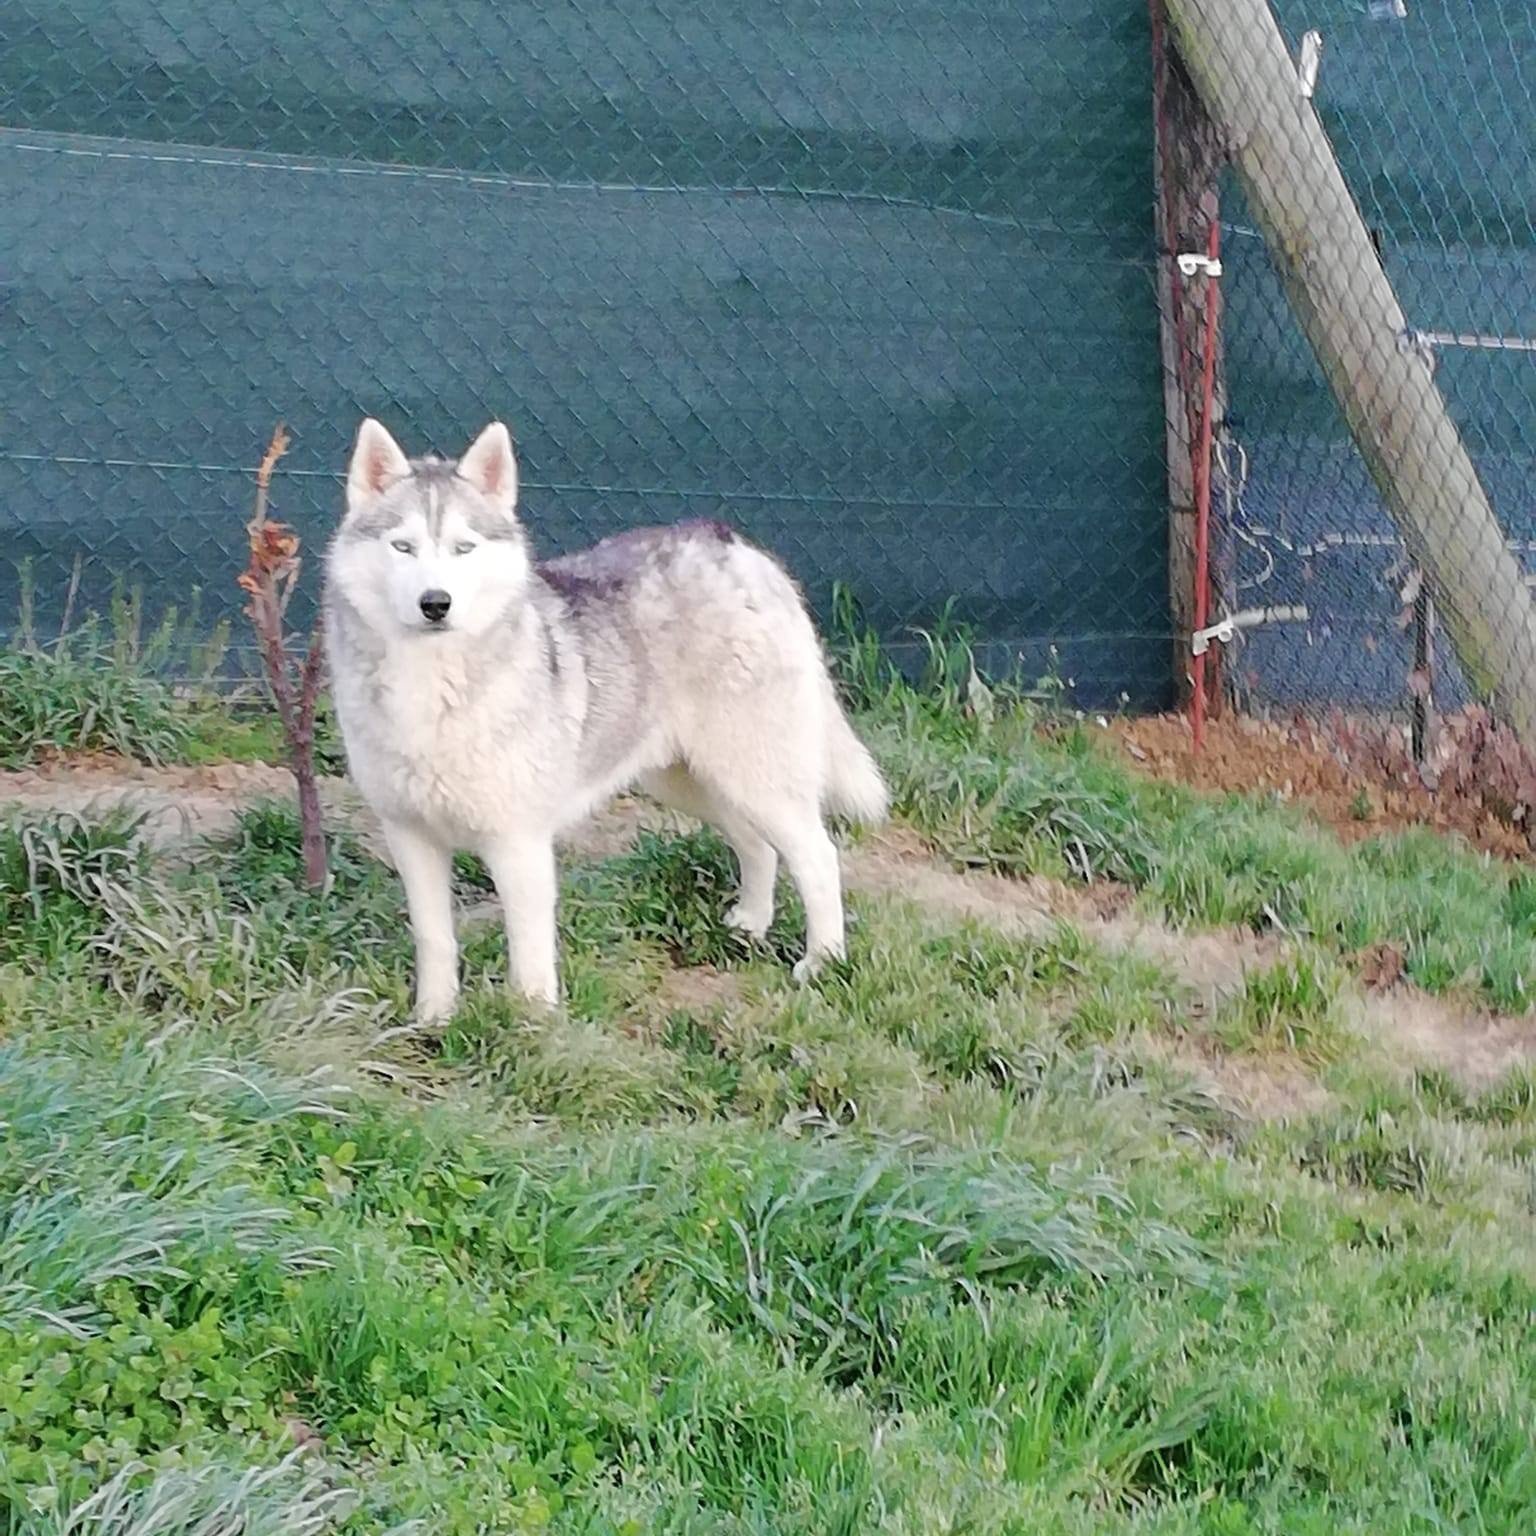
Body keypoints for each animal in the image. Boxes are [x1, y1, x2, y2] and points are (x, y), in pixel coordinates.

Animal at [321, 417, 890, 1019]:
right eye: (402, 547)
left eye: (463, 548)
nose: (436, 603)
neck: (431, 687)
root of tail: (739, 549)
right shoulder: (410, 838)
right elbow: (435, 939)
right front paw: (432, 1018)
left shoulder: (518, 843)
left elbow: (529, 955)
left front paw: (534, 1025)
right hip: (694, 782)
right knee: (756, 845)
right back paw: (748, 926)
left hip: (757, 779)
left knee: (819, 858)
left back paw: (823, 961)